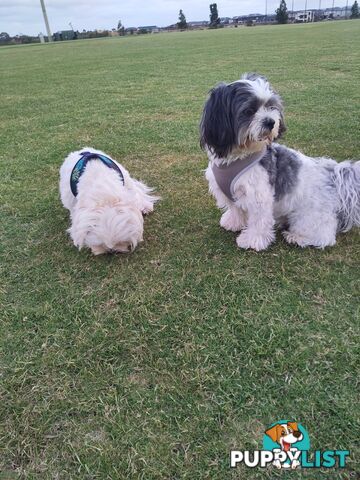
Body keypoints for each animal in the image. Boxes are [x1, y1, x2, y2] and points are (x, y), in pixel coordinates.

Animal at [200, 74, 360, 251]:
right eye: (249, 111)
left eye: (271, 106)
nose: (271, 122)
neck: (239, 156)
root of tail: (333, 174)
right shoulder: (230, 193)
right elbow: (236, 209)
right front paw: (233, 222)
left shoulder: (259, 195)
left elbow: (258, 221)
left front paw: (253, 240)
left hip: (309, 216)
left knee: (324, 236)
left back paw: (297, 237)